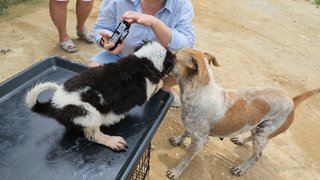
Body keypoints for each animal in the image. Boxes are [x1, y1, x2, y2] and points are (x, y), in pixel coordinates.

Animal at [25, 40, 175, 150]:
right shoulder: (147, 92)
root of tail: (53, 104)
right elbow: (156, 85)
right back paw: (112, 141)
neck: (144, 60)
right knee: (93, 135)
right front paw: (161, 82)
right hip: (89, 114)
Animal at [166, 47, 318, 179]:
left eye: (174, 56)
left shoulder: (199, 140)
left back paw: (241, 168)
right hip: (256, 127)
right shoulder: (191, 127)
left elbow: (185, 159)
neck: (199, 92)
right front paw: (178, 140)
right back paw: (240, 140)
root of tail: (292, 100)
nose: (167, 49)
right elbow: (184, 132)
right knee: (252, 137)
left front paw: (176, 172)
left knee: (257, 156)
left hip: (263, 135)